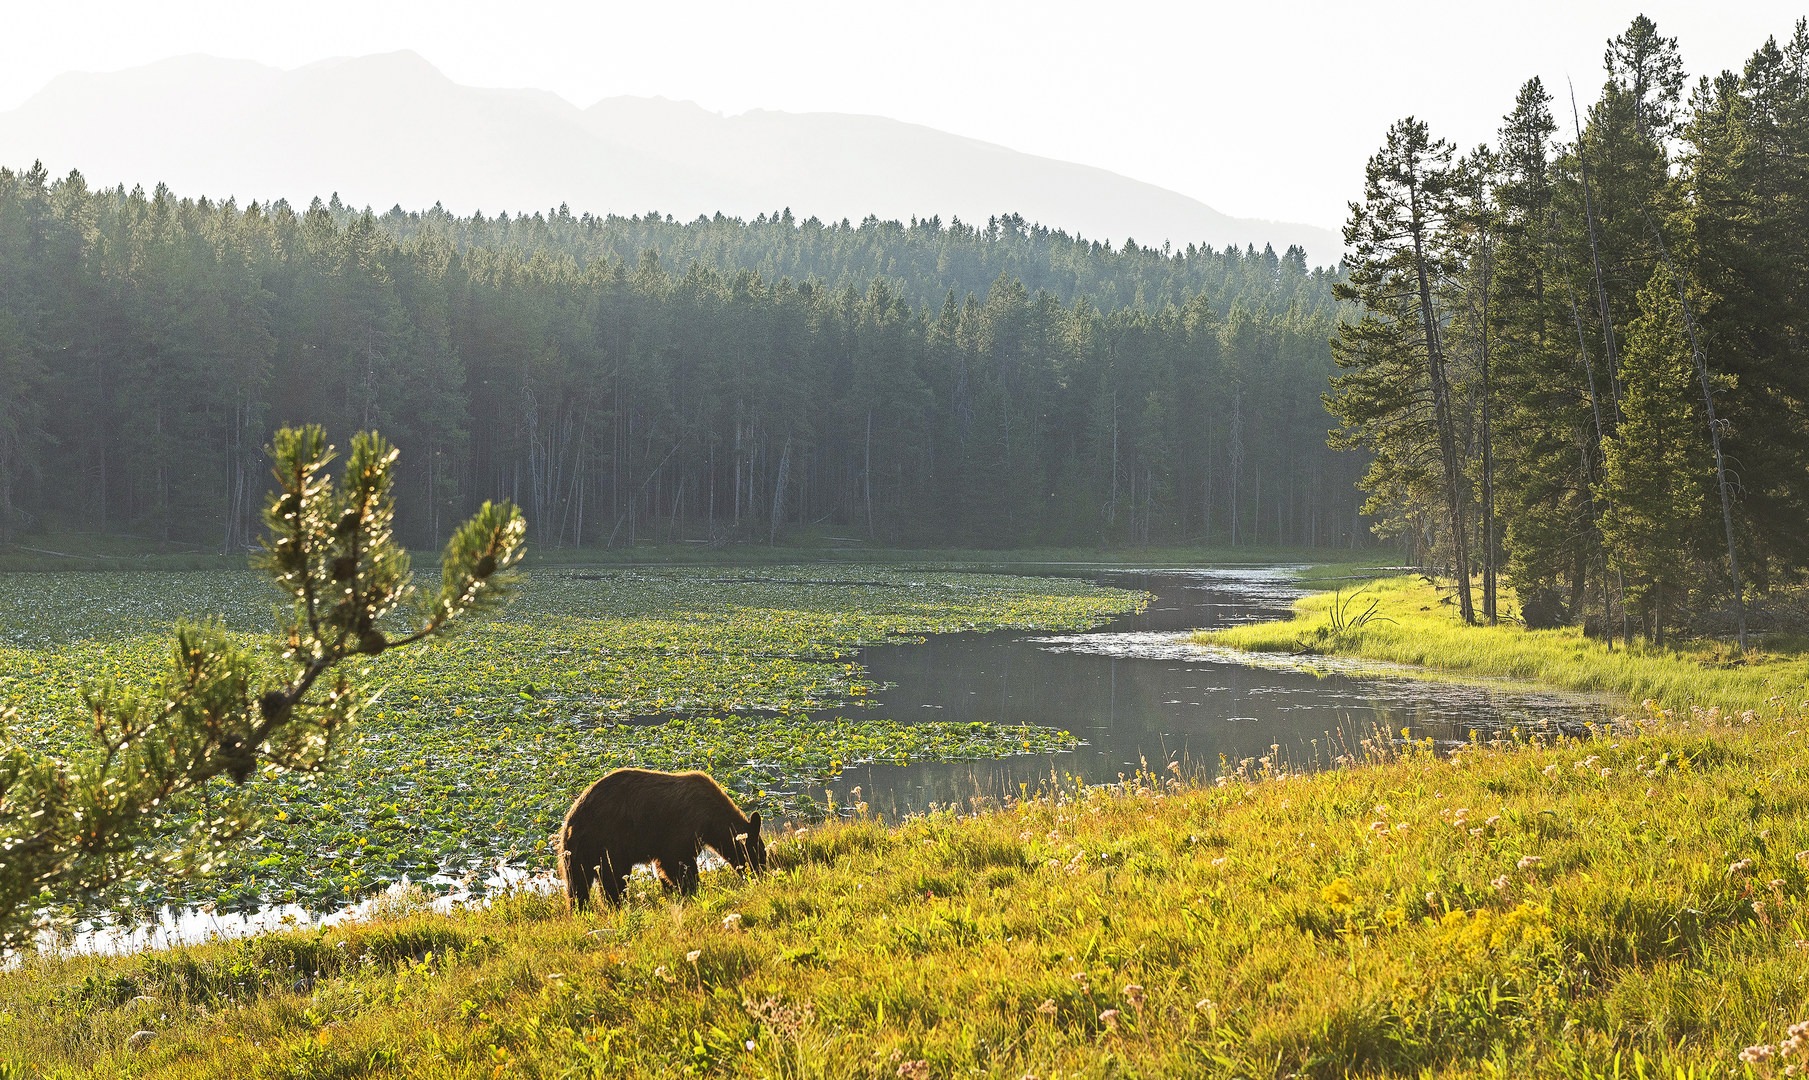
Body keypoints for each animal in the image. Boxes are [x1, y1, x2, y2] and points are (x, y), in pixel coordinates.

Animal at [554, 767, 766, 908]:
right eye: (761, 853)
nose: (762, 874)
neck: (711, 819)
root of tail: (573, 819)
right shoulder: (681, 828)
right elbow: (678, 862)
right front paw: (692, 889)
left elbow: (663, 868)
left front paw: (673, 890)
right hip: (608, 843)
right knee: (613, 881)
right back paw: (619, 904)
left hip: (575, 855)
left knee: (577, 885)